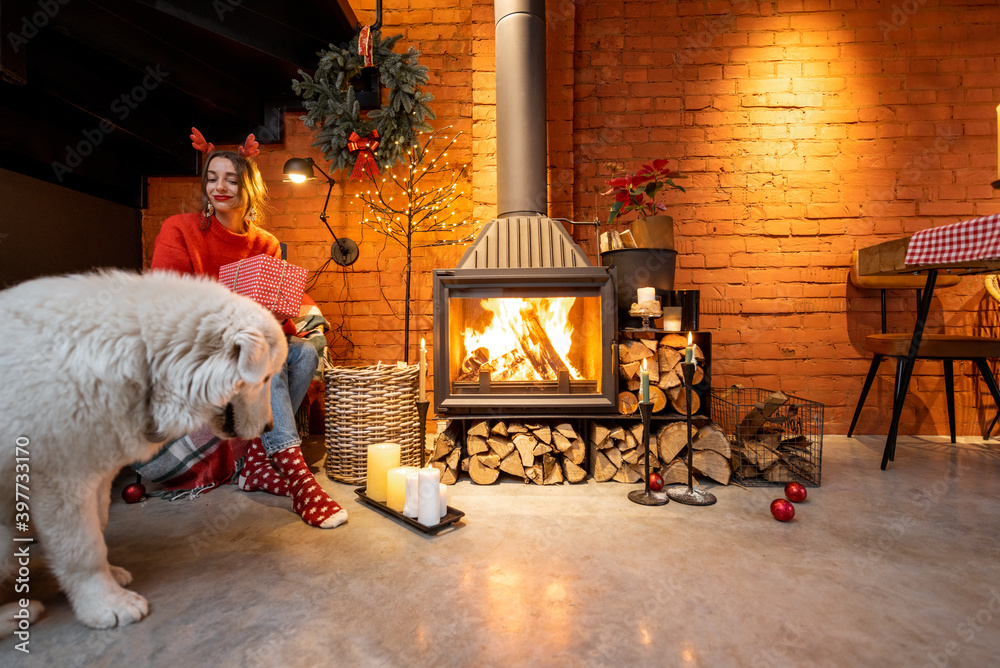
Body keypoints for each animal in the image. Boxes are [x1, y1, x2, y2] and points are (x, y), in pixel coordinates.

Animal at [0, 270, 290, 632]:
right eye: (264, 378)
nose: (268, 428)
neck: (144, 357)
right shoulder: (60, 479)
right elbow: (83, 549)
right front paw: (106, 604)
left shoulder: (96, 472)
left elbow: (99, 525)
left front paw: (111, 576)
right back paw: (16, 614)